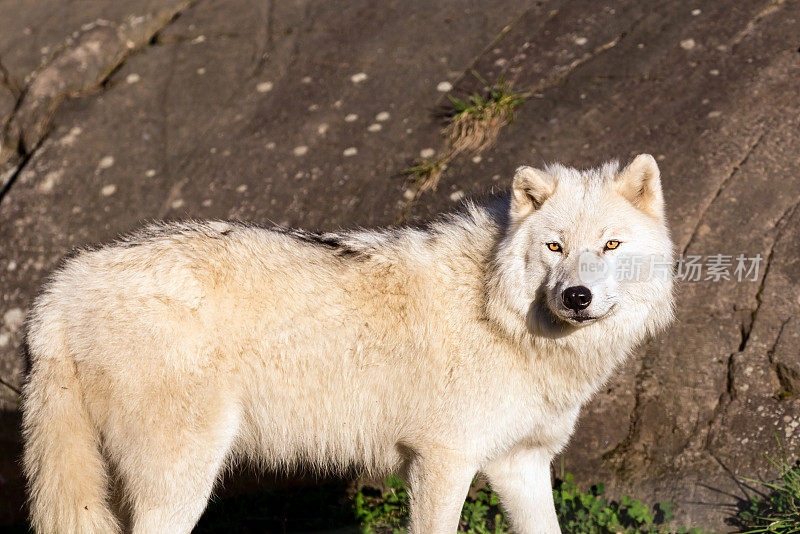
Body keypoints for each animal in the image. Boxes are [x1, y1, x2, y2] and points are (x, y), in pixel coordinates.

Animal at [20, 153, 676, 532]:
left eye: (611, 245)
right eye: (555, 246)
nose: (576, 298)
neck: (498, 312)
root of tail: (59, 289)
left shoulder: (521, 463)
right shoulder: (441, 461)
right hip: (182, 478)